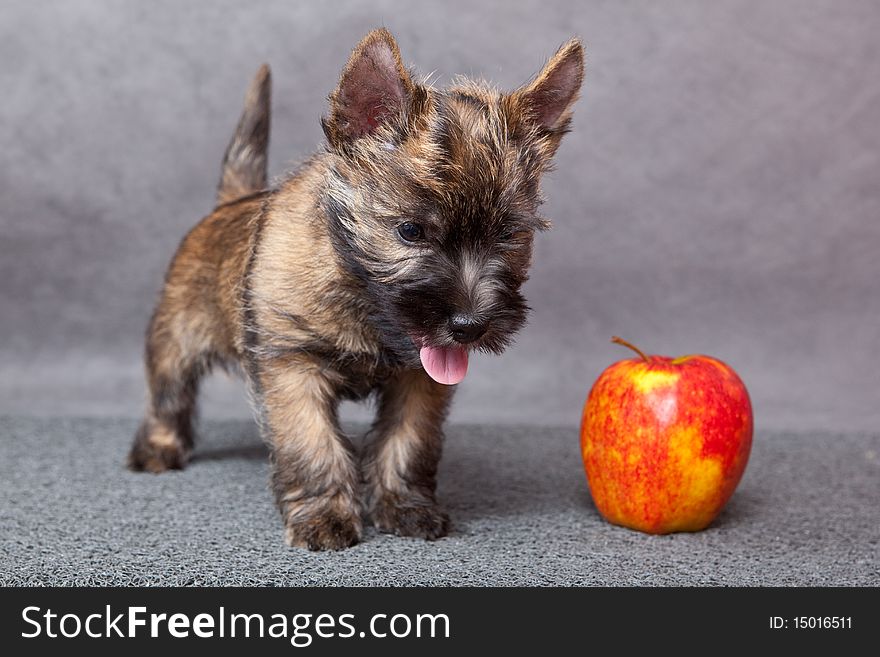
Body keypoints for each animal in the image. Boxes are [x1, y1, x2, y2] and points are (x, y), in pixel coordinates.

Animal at [127, 28, 584, 548]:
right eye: (410, 231)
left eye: (508, 235)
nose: (470, 326)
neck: (363, 303)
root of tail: (230, 202)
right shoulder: (292, 367)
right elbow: (313, 444)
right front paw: (325, 517)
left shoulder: (421, 381)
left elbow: (408, 440)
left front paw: (405, 507)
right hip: (174, 338)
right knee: (168, 395)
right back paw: (158, 448)